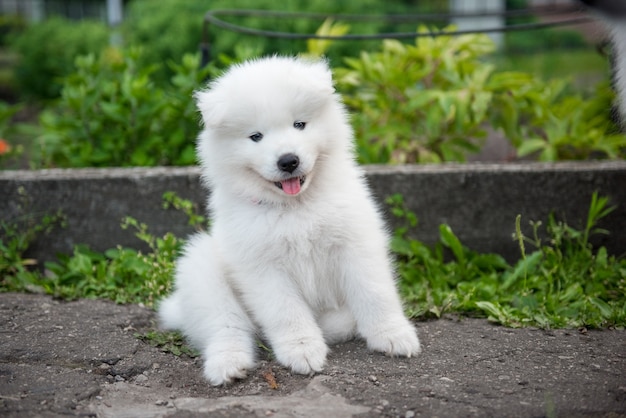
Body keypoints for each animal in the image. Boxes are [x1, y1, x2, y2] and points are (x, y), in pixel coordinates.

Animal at [158, 55, 420, 386]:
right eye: (256, 136)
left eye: (299, 124)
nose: (288, 161)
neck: (295, 207)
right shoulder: (262, 266)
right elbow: (286, 311)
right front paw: (302, 350)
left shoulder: (355, 242)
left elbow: (375, 292)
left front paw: (393, 335)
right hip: (201, 269)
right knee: (226, 325)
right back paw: (228, 363)